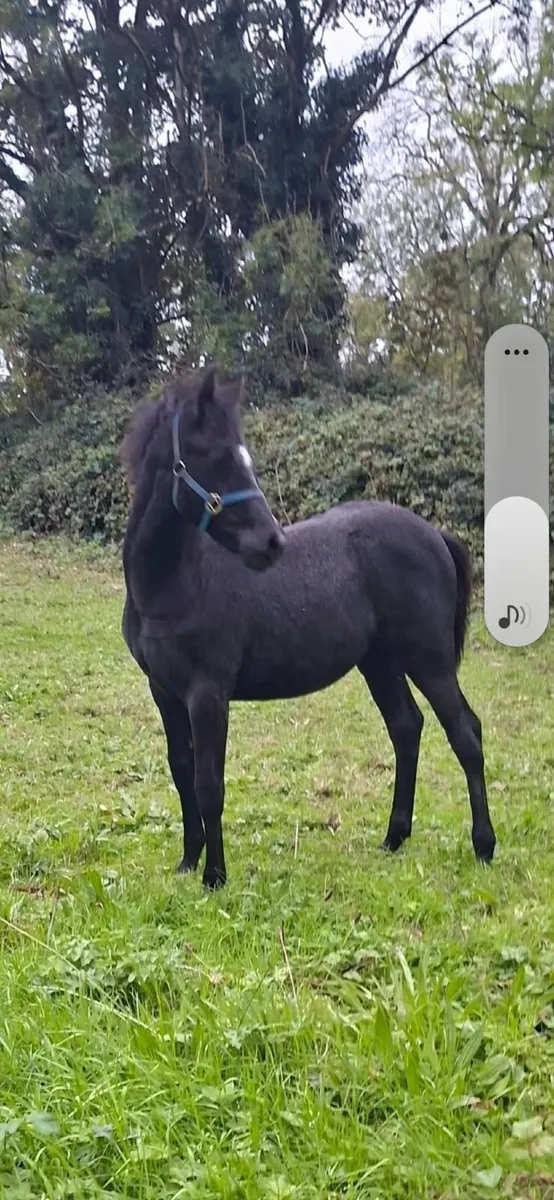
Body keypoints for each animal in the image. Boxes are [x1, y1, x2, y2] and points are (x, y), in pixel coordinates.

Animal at [121, 366, 496, 889]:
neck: (173, 582)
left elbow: (208, 782)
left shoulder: (207, 693)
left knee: (465, 732)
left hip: (430, 661)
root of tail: (434, 535)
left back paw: (484, 845)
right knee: (407, 727)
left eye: (243, 456)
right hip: (379, 662)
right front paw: (188, 862)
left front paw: (214, 876)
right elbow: (181, 772)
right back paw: (394, 837)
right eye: (217, 456)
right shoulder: (164, 691)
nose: (271, 543)